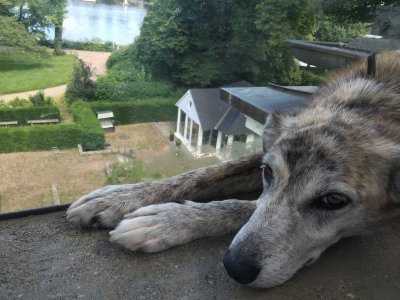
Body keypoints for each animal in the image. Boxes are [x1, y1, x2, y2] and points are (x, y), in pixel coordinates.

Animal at [66, 51, 400, 288]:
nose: (235, 267)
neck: (377, 107)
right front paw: (118, 197)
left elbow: (244, 205)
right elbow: (204, 174)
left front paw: (165, 221)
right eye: (268, 173)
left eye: (334, 200)